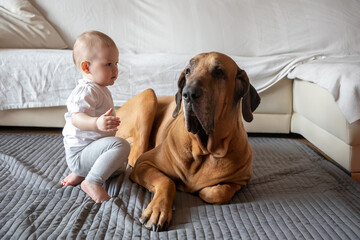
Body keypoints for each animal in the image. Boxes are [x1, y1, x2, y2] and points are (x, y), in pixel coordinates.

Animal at [116, 52, 260, 231]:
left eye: (219, 72)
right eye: (188, 71)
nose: (188, 93)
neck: (205, 150)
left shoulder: (242, 180)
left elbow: (219, 192)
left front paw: (206, 191)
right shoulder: (144, 164)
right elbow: (167, 181)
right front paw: (157, 210)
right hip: (149, 97)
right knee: (135, 155)